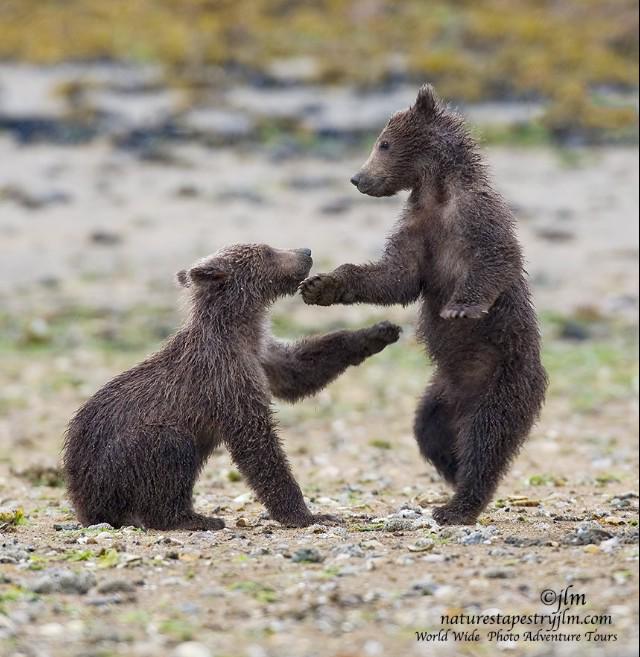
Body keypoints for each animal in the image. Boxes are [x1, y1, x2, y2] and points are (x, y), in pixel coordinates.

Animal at [61, 243, 400, 532]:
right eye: (266, 250)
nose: (306, 251)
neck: (238, 331)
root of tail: (84, 505)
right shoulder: (224, 377)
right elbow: (256, 444)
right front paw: (308, 514)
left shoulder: (261, 356)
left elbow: (298, 370)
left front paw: (377, 333)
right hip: (117, 463)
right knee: (170, 451)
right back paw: (194, 519)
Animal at [300, 86, 544, 524]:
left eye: (383, 142)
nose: (357, 178)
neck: (437, 193)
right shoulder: (418, 229)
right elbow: (394, 276)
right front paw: (321, 286)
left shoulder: (476, 217)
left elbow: (497, 259)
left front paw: (462, 307)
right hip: (440, 394)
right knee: (429, 432)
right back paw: (451, 473)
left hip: (503, 382)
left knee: (487, 440)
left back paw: (459, 504)